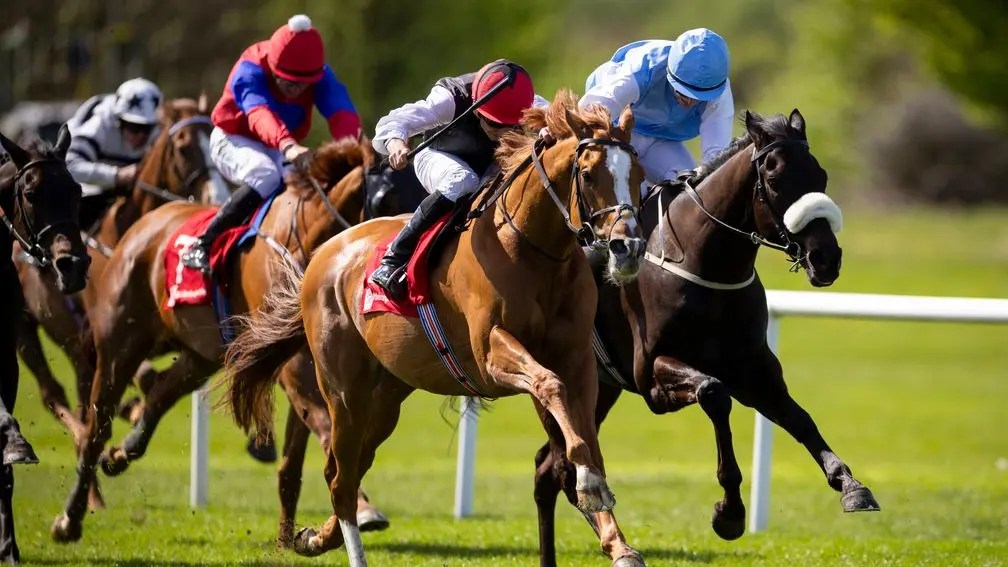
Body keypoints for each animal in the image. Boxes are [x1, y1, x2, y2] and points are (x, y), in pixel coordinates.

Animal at [47, 137, 380, 543]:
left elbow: (297, 457)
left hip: (199, 355)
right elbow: (328, 431)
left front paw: (293, 535)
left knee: (161, 393)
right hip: (119, 346)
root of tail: (144, 226)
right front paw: (359, 509)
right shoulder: (295, 369)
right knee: (97, 427)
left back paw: (122, 452)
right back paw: (69, 518)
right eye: (387, 195)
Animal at [223, 90, 648, 566]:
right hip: (344, 391)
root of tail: (320, 257)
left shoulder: (578, 360)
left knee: (347, 470)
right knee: (341, 476)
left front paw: (617, 538)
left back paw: (314, 537)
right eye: (589, 174)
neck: (534, 249)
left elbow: (581, 428)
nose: (628, 246)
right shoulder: (492, 353)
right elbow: (551, 388)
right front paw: (590, 485)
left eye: (638, 174)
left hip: (387, 396)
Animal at [532, 109, 880, 566]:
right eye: (774, 178)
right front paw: (729, 513)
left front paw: (851, 485)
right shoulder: (655, 376)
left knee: (548, 468)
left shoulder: (754, 368)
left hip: (601, 390)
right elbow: (715, 393)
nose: (826, 258)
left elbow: (800, 418)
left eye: (820, 175)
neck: (707, 267)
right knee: (561, 467)